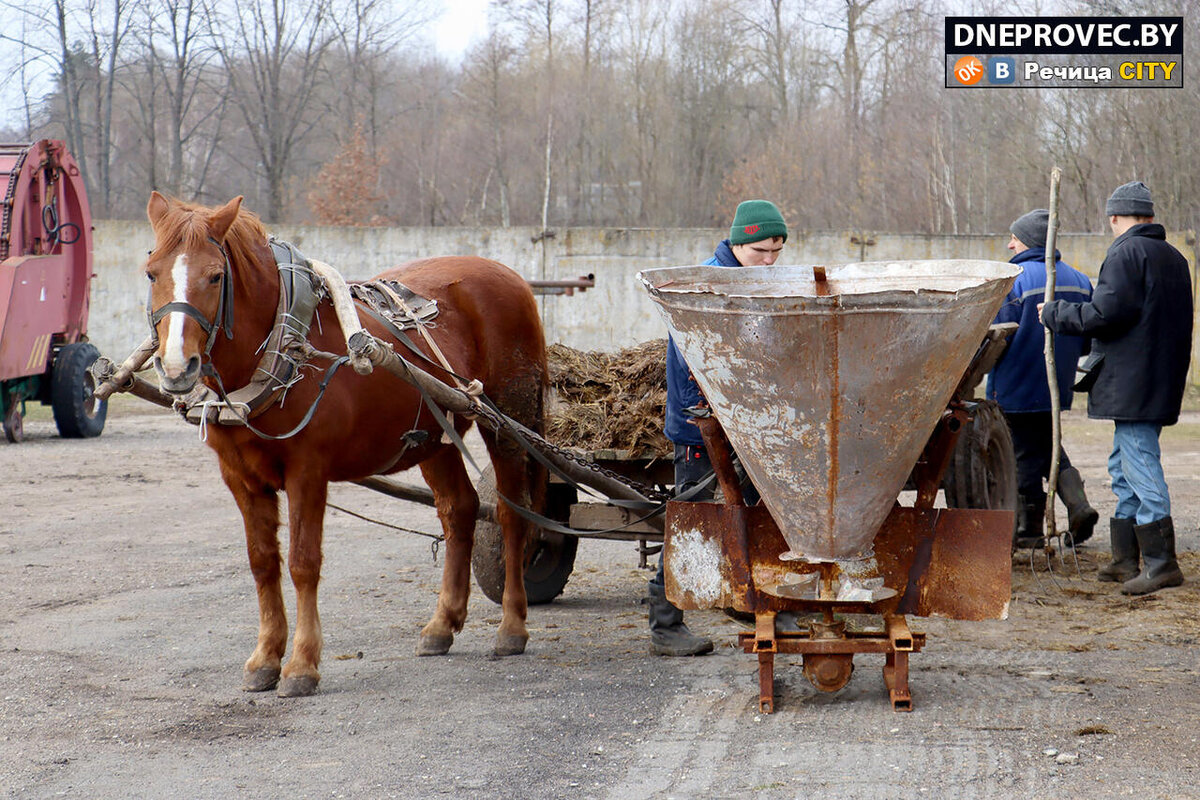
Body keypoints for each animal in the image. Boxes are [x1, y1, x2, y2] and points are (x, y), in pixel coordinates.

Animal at [141, 191, 549, 695]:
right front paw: (265, 658)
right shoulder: (239, 477)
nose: (177, 366)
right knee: (460, 510)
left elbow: (302, 562)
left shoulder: (307, 471)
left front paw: (301, 664)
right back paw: (442, 624)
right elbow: (262, 562)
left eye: (216, 276)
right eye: (152, 272)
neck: (283, 345)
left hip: (507, 423)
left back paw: (512, 626)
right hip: (433, 436)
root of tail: (511, 277)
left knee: (512, 514)